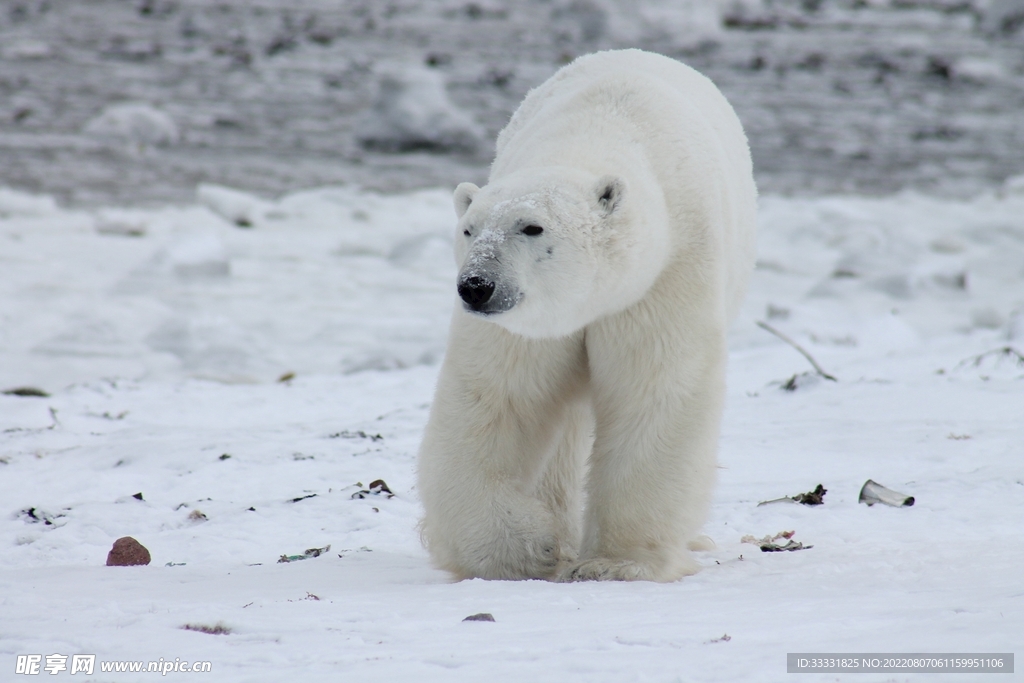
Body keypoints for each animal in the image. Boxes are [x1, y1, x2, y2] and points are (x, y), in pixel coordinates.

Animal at [415, 49, 761, 581]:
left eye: (532, 227)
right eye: (469, 229)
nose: (476, 286)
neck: (595, 133)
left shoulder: (665, 275)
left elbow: (654, 392)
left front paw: (616, 563)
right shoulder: (528, 326)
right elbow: (497, 399)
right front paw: (525, 548)